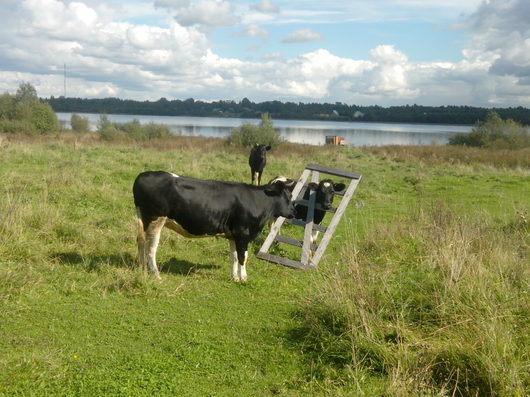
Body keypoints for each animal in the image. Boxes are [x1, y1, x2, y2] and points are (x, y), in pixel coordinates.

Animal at [131, 172, 292, 280]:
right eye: (288, 196)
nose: (294, 211)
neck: (257, 200)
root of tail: (142, 175)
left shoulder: (233, 235)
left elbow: (234, 256)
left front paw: (234, 277)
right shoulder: (242, 233)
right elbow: (243, 257)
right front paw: (244, 278)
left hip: (144, 220)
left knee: (141, 242)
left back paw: (142, 269)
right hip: (156, 220)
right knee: (151, 248)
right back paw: (156, 275)